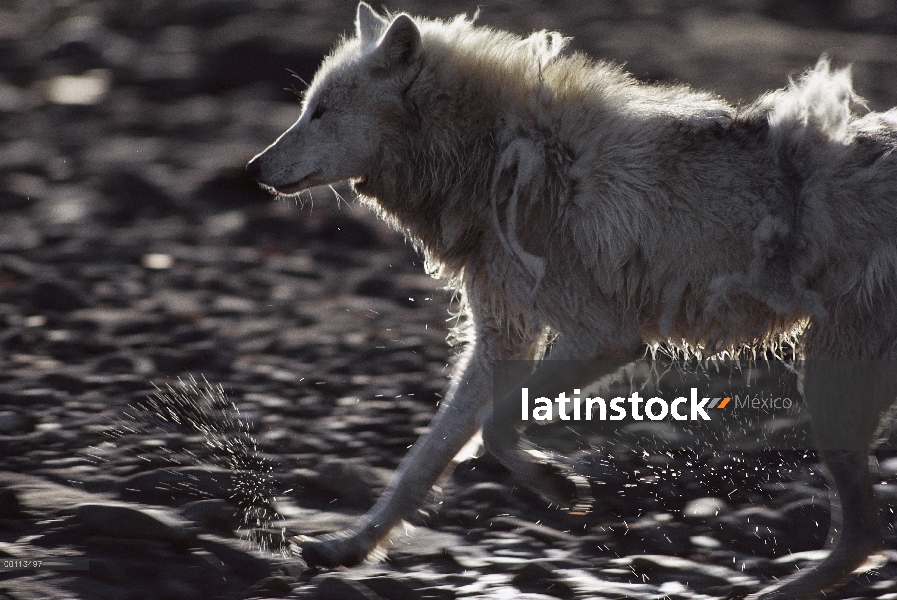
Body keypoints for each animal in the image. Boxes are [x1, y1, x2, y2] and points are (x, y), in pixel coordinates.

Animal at [245, 3, 896, 596]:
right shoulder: (502, 342)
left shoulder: (604, 339)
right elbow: (422, 462)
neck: (493, 148)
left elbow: (498, 427)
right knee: (866, 534)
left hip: (828, 382)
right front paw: (347, 547)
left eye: (321, 112)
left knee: (865, 534)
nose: (252, 168)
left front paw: (556, 484)